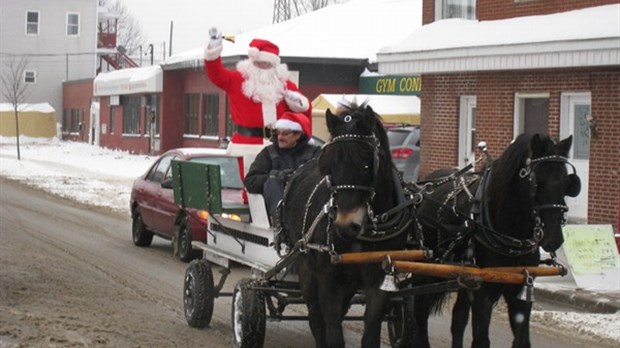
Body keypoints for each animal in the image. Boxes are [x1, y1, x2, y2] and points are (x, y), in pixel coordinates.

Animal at [280, 102, 416, 346]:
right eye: (329, 165)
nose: (345, 225)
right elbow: (333, 334)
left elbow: (370, 335)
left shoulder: (379, 282)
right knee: (316, 318)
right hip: (306, 267)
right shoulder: (329, 280)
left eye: (367, 164)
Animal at [412, 134, 580, 348]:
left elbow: (522, 340)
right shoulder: (483, 292)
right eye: (537, 183)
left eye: (568, 185)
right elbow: (482, 340)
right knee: (419, 310)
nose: (553, 238)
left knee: (457, 319)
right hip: (424, 270)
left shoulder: (520, 290)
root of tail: (423, 187)